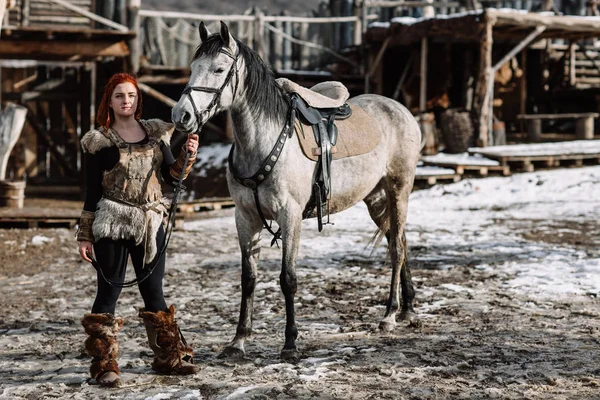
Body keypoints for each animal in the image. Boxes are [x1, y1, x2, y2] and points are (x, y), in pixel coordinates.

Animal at [170, 21, 422, 360]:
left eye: (219, 69)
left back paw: (390, 315)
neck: (263, 141)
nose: (181, 116)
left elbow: (288, 279)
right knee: (400, 241)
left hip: (399, 190)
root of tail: (400, 110)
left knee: (396, 249)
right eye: (193, 67)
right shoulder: (245, 218)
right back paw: (408, 309)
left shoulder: (290, 217)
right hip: (376, 198)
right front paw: (238, 341)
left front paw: (290, 343)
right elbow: (248, 278)